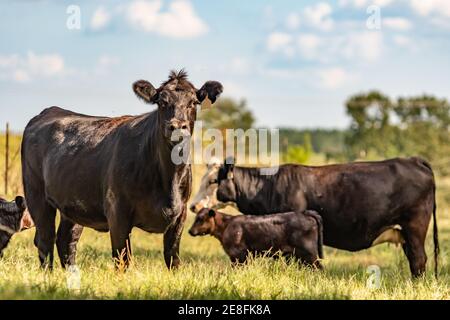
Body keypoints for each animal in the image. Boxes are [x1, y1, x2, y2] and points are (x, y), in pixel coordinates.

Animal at [21, 70, 223, 270]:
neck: (168, 178)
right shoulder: (117, 212)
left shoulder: (180, 214)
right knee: (45, 239)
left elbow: (173, 259)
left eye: (193, 102)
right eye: (162, 102)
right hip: (36, 195)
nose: (177, 126)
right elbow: (123, 259)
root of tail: (50, 111)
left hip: (73, 203)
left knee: (66, 240)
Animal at [191, 158, 440, 278]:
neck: (268, 186)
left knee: (419, 260)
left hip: (415, 227)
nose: (193, 206)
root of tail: (413, 160)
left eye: (213, 181)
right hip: (406, 233)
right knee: (415, 260)